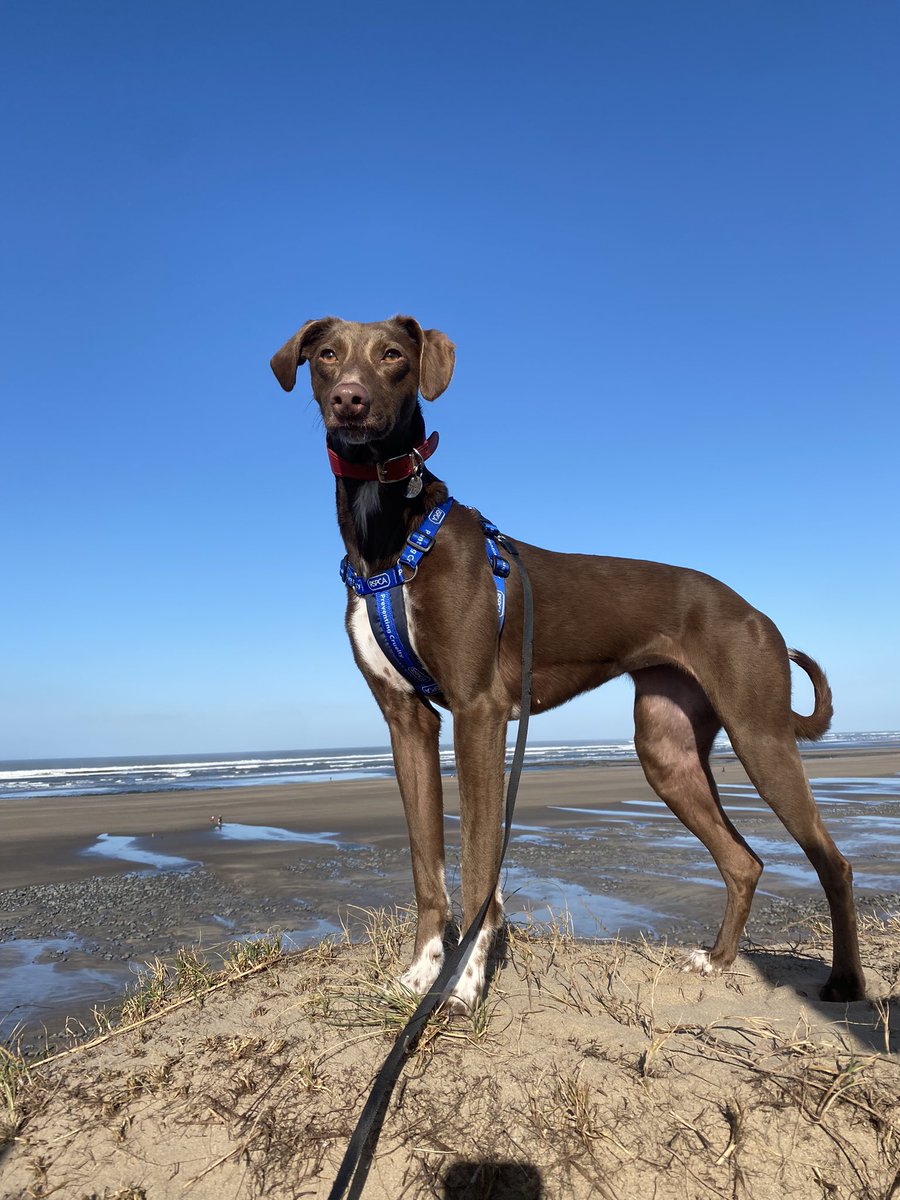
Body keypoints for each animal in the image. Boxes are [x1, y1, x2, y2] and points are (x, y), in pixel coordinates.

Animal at [271, 314, 868, 1008]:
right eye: (326, 355)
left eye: (393, 354)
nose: (350, 400)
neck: (393, 534)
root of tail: (756, 613)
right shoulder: (407, 721)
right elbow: (427, 864)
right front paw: (423, 971)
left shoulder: (479, 712)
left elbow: (479, 863)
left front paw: (464, 983)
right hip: (666, 751)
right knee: (744, 860)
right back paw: (719, 960)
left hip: (760, 735)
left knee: (834, 861)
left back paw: (845, 980)